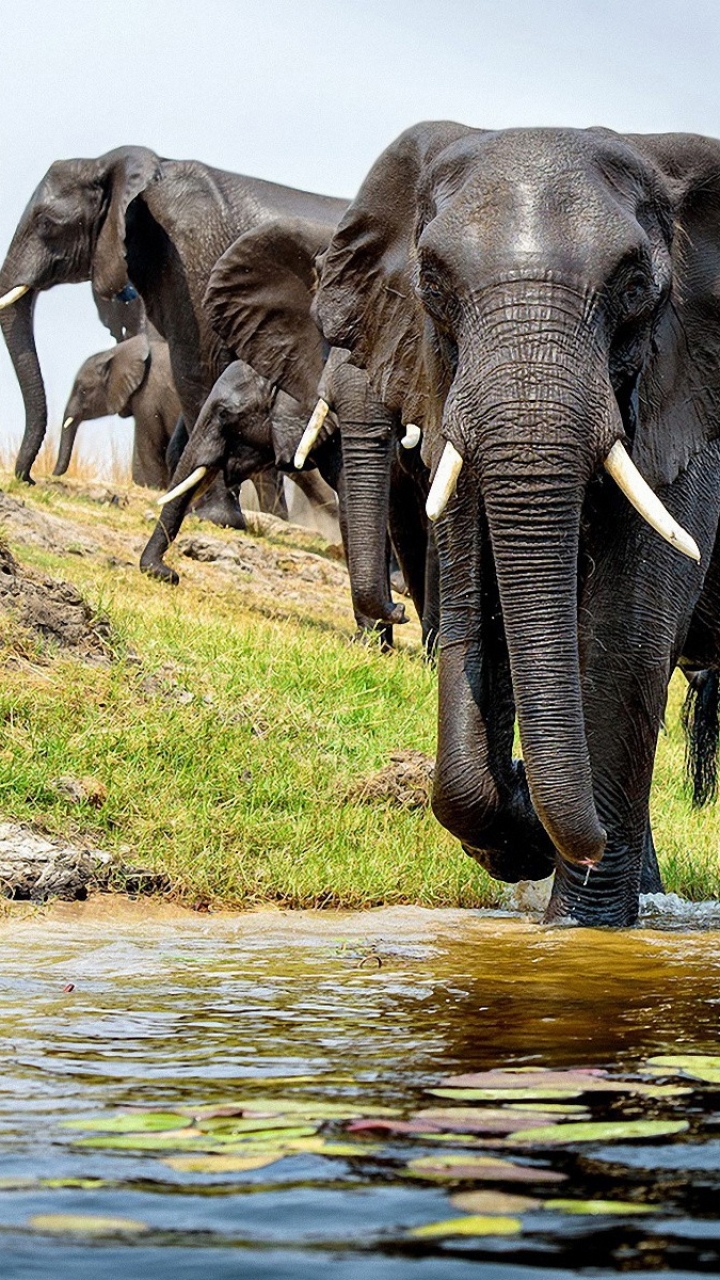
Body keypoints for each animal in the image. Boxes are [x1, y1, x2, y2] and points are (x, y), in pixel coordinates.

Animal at [313, 124, 720, 926]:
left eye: (634, 285)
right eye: (433, 283)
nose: (527, 781)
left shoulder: (688, 395)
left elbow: (626, 639)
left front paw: (579, 929)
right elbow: (480, 620)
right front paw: (524, 832)